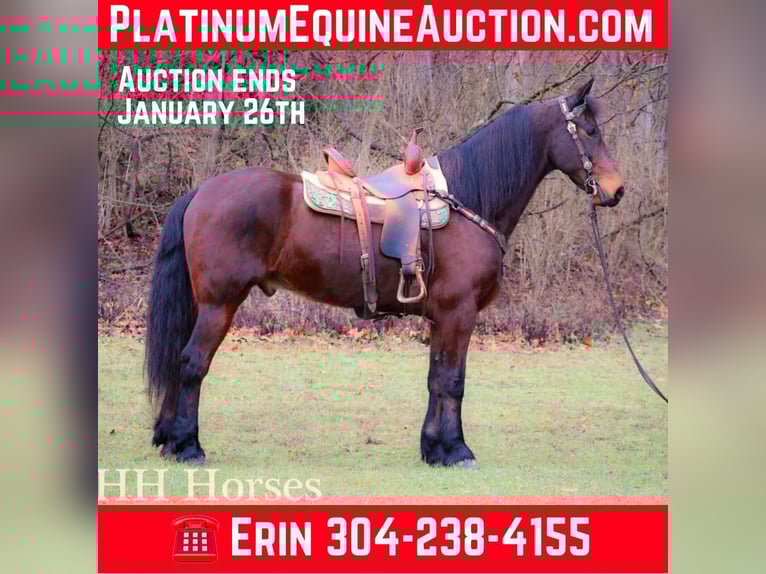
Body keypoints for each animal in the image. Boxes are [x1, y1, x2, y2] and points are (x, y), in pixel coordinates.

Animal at [145, 78, 625, 467]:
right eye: (590, 131)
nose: (617, 190)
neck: (468, 200)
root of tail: (202, 191)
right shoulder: (459, 313)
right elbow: (453, 381)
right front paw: (457, 451)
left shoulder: (442, 318)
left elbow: (436, 378)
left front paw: (434, 449)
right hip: (219, 304)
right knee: (192, 363)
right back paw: (188, 446)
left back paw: (169, 439)